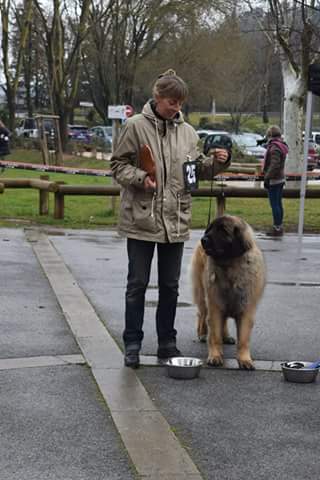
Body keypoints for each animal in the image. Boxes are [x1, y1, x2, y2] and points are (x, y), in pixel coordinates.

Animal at [191, 216, 266, 370]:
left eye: (223, 230)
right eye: (210, 229)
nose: (203, 240)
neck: (230, 266)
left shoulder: (246, 309)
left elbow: (243, 338)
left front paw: (245, 360)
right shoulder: (215, 304)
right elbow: (214, 334)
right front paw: (215, 356)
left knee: (223, 320)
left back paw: (226, 336)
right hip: (203, 294)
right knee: (202, 313)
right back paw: (202, 334)